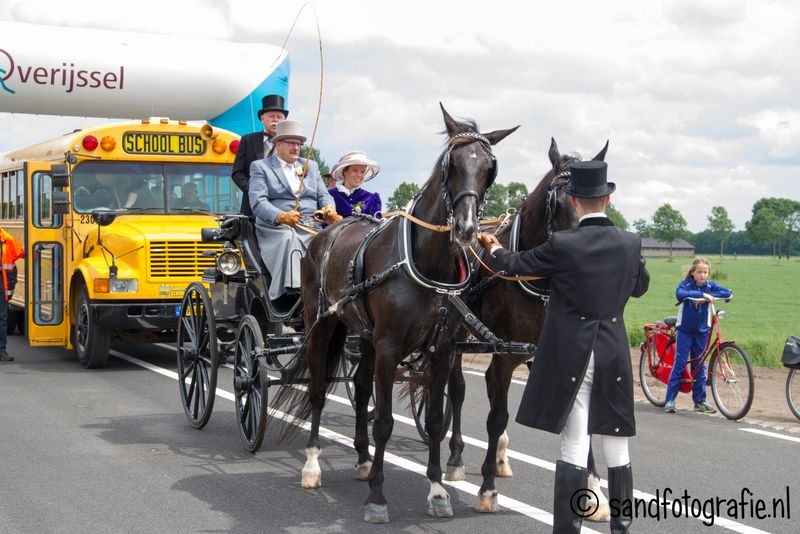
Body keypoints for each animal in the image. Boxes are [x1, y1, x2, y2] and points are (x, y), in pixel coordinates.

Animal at [272, 104, 516, 524]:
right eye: (451, 163)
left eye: (490, 167)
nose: (468, 229)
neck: (426, 261)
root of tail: (327, 232)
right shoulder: (389, 347)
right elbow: (384, 421)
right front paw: (377, 497)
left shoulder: (441, 350)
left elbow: (433, 420)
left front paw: (437, 490)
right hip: (321, 324)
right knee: (318, 390)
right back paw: (313, 465)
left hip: (365, 336)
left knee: (361, 387)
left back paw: (362, 459)